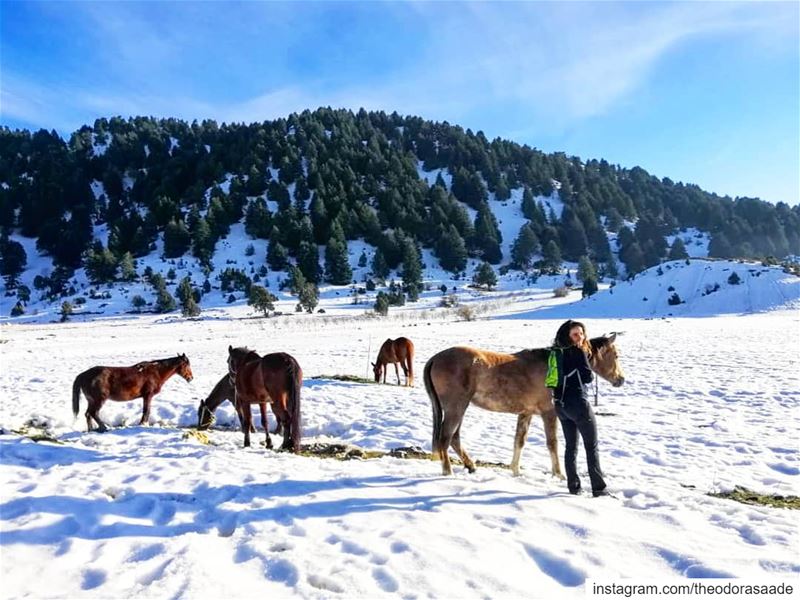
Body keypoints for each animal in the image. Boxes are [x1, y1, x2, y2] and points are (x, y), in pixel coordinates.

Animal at [424, 336, 624, 476]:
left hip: (459, 408)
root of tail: (435, 358)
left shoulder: (526, 413)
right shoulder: (548, 413)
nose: (620, 380)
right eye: (615, 355)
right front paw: (558, 475)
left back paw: (470, 466)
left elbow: (519, 441)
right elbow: (552, 443)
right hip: (456, 408)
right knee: (445, 438)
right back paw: (448, 472)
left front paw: (515, 470)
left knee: (454, 438)